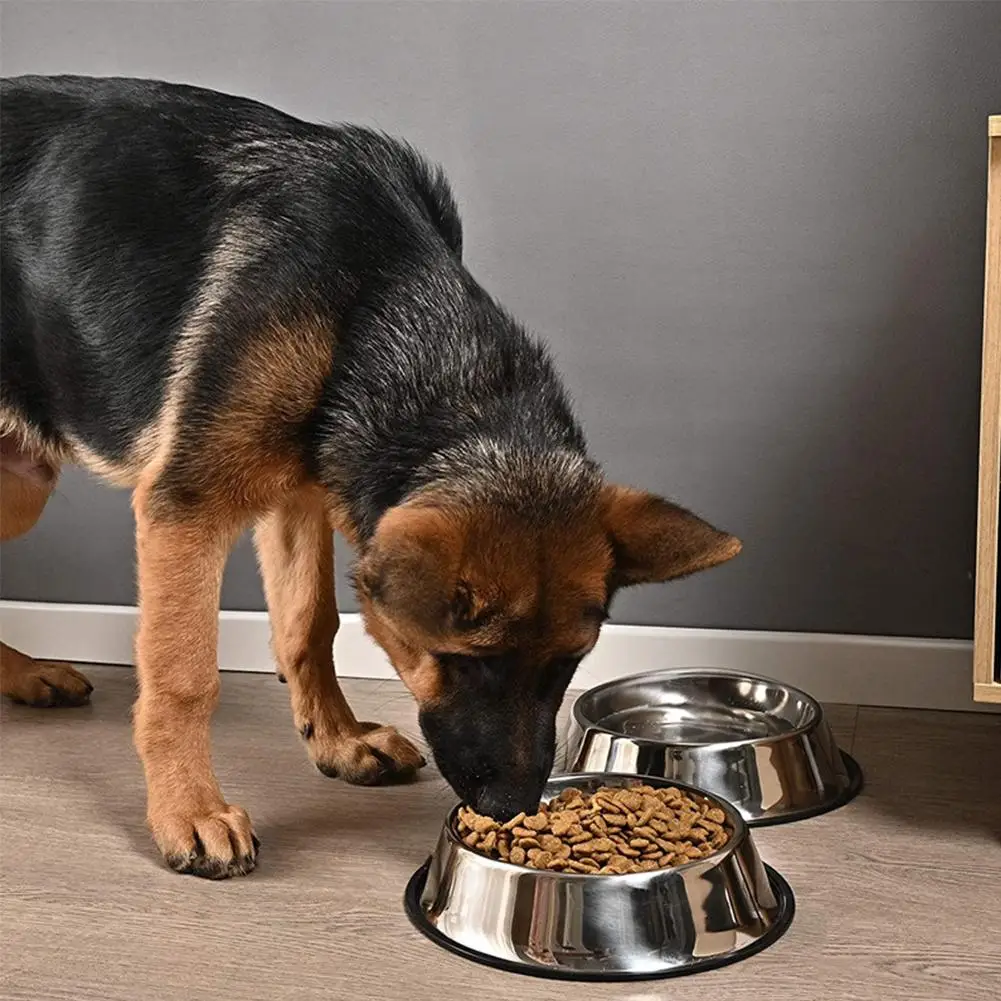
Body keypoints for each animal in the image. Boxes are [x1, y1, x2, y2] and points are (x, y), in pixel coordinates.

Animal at [0, 78, 736, 876]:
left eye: (568, 662)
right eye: (464, 661)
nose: (511, 806)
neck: (382, 303)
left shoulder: (299, 494)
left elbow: (308, 623)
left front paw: (338, 741)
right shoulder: (187, 509)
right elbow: (184, 675)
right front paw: (189, 811)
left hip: (21, 482)